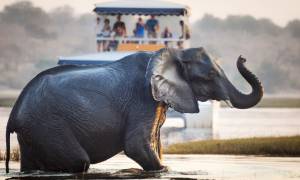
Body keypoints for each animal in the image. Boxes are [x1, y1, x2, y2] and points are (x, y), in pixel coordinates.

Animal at [5, 47, 262, 173]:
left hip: (34, 131)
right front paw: (164, 169)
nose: (242, 58)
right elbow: (136, 145)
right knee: (79, 161)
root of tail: (13, 114)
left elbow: (154, 144)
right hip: (48, 125)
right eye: (209, 75)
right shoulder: (142, 99)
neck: (172, 53)